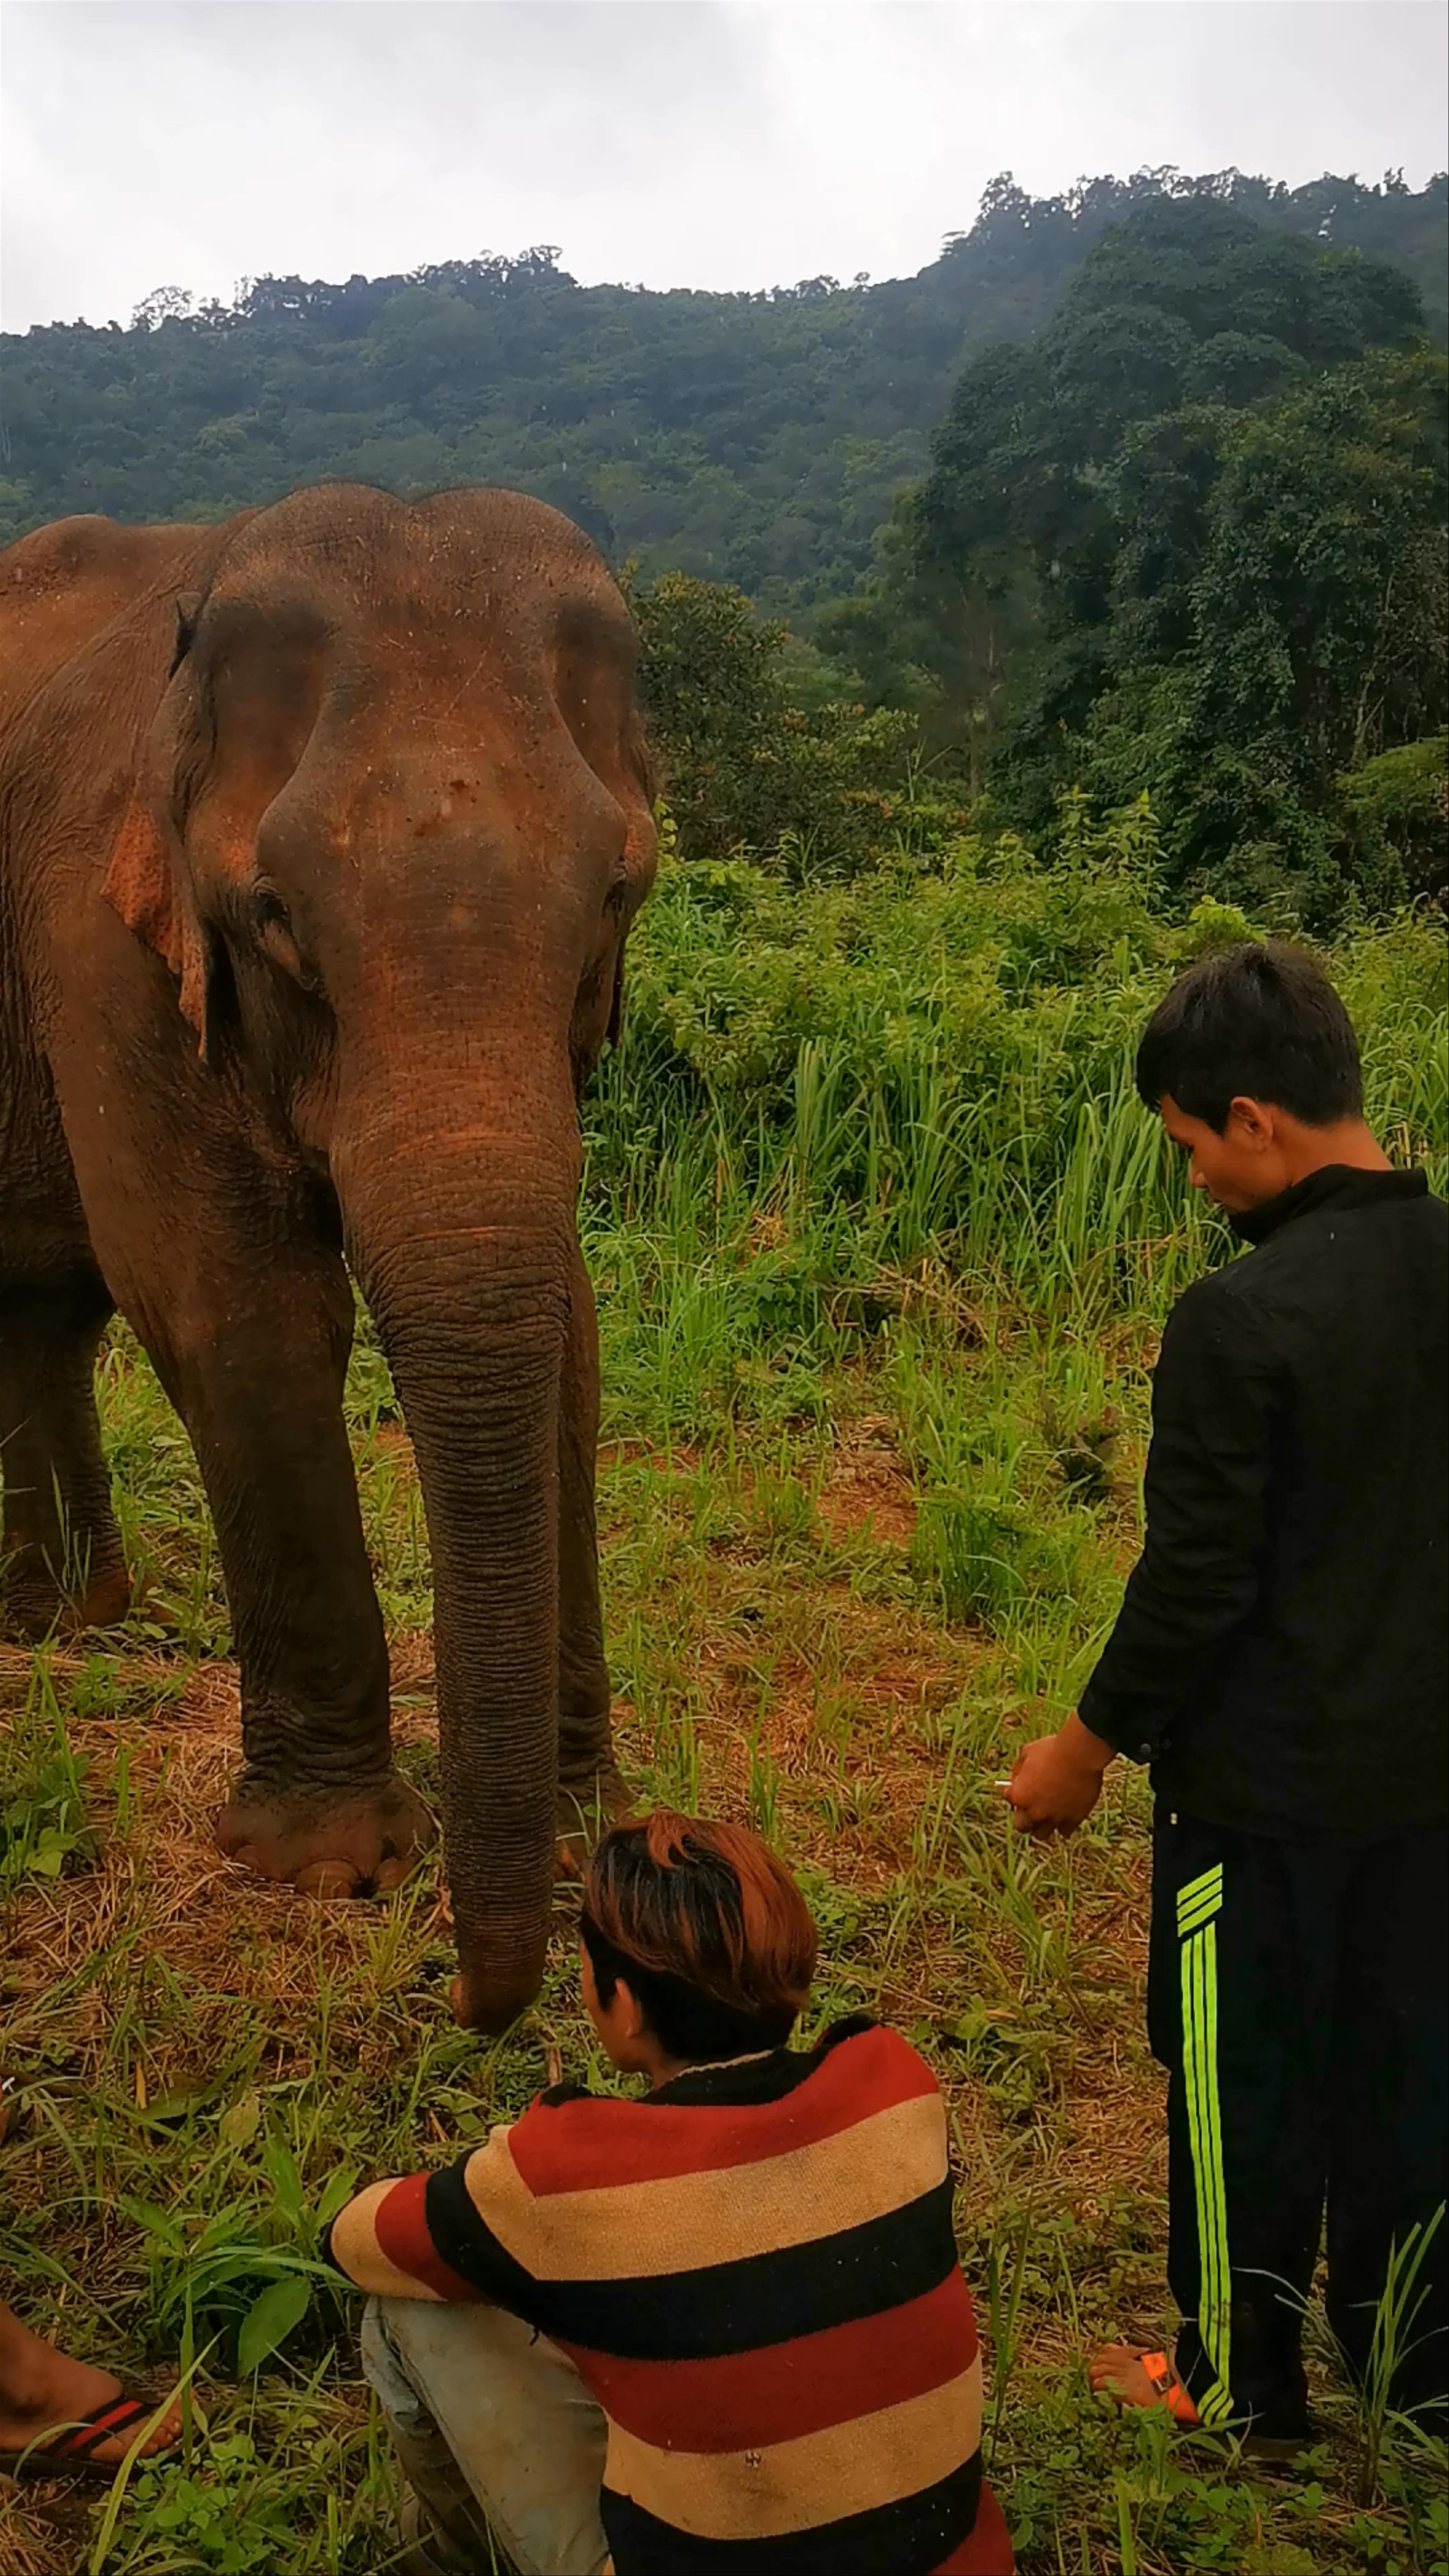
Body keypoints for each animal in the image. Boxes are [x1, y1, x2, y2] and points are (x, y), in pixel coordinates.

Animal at [0, 484, 657, 2031]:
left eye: (617, 892)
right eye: (275, 918)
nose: (480, 1998)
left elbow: (566, 1320)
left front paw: (586, 1817)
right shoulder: (98, 939)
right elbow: (236, 1305)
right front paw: (328, 1869)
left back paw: (66, 1624)